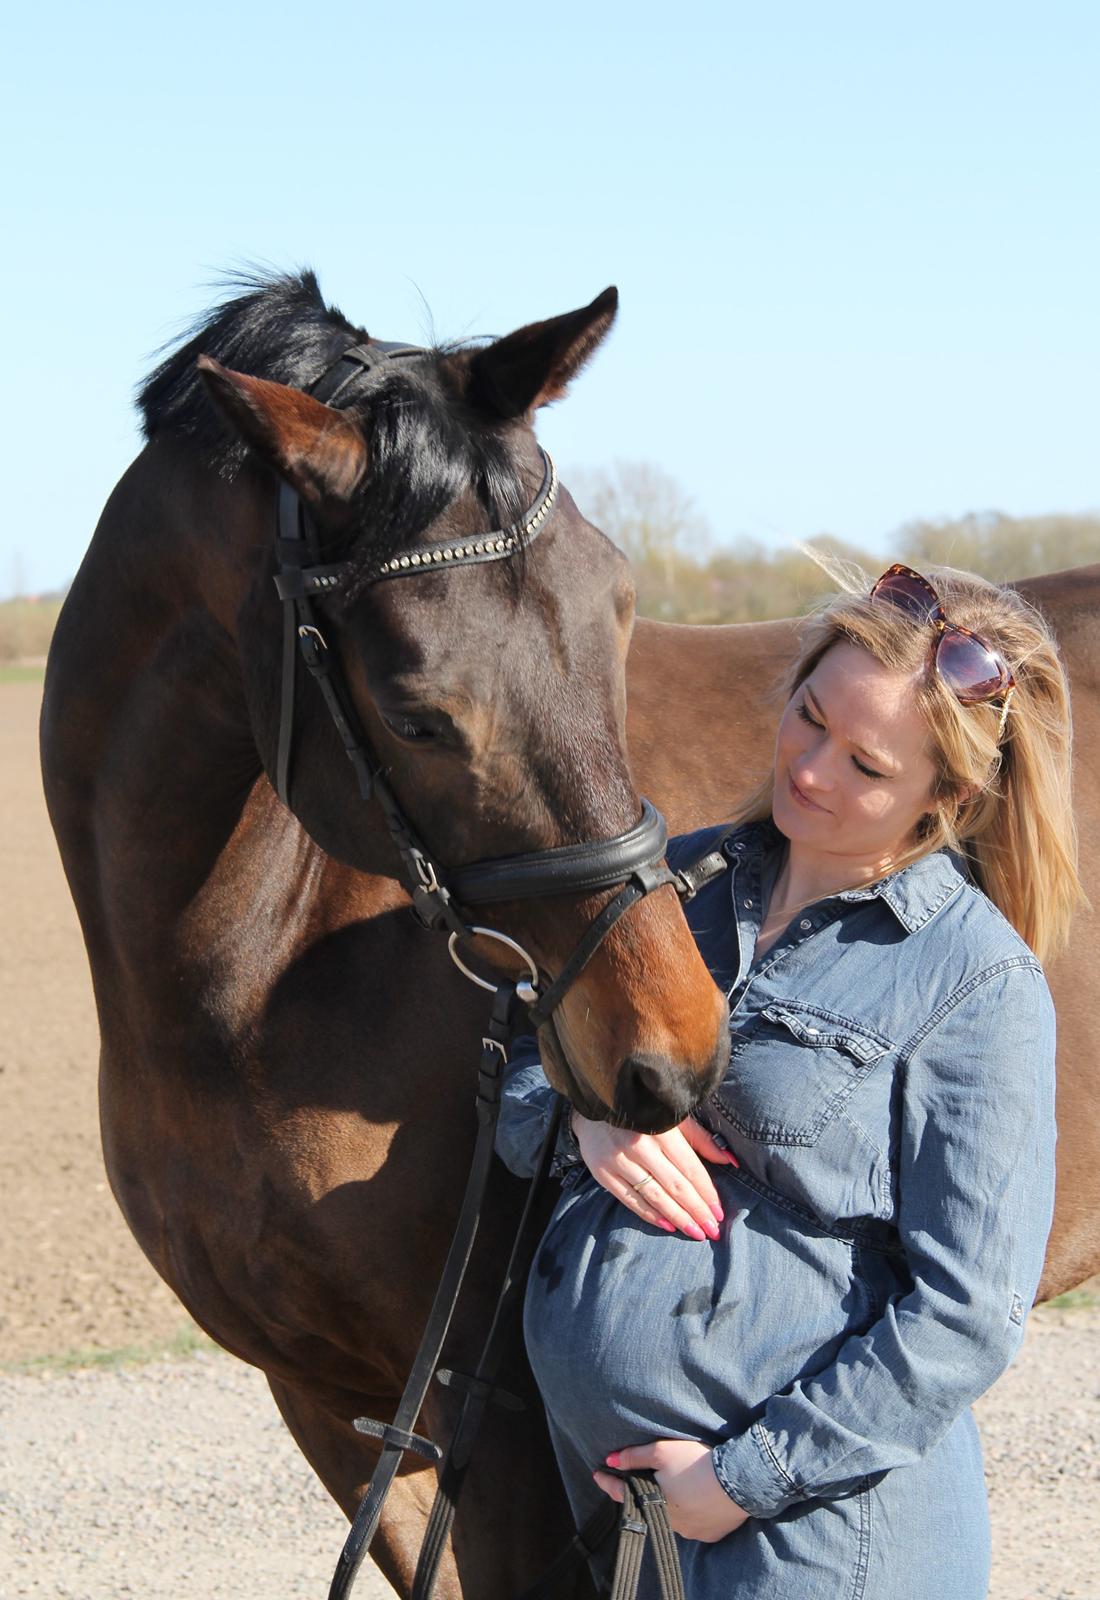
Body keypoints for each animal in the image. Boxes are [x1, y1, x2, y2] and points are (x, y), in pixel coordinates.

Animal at [38, 268, 1093, 1593]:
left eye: (620, 611)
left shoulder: (504, 1438)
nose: (678, 1052)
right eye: (415, 713)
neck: (244, 980)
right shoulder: (334, 1404)